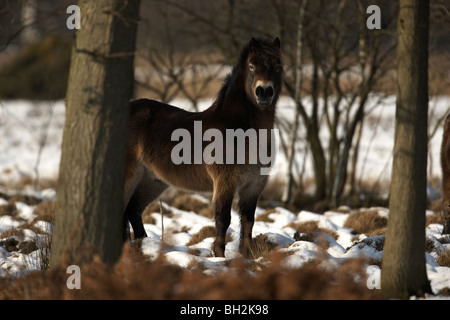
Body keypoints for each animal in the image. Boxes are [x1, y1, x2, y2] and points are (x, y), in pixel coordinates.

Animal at [123, 37, 284, 258]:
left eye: (277, 65)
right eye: (252, 65)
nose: (264, 92)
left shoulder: (254, 186)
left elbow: (248, 222)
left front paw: (245, 258)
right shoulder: (225, 182)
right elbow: (223, 219)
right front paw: (219, 257)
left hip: (152, 180)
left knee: (133, 211)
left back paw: (142, 247)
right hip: (132, 175)